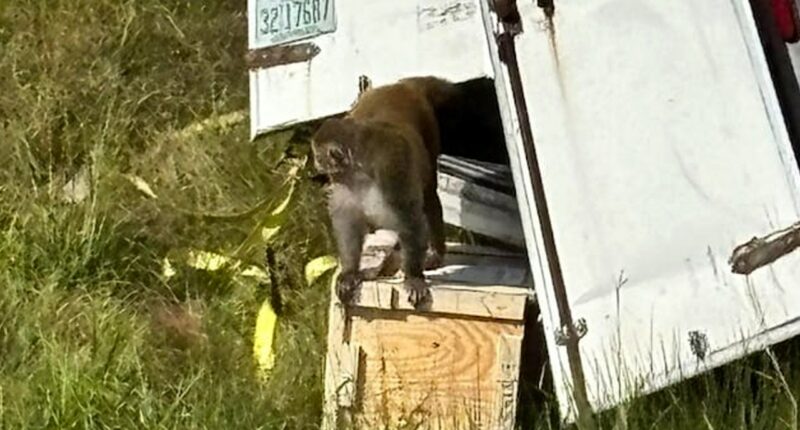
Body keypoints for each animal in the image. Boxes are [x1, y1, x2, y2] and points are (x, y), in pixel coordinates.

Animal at [312, 76, 458, 309]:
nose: (316, 164)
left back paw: (436, 252)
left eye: (318, 156)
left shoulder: (391, 169)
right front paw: (350, 272)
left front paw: (413, 277)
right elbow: (348, 222)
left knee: (429, 196)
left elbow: (409, 218)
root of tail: (400, 85)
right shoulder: (345, 183)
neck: (360, 169)